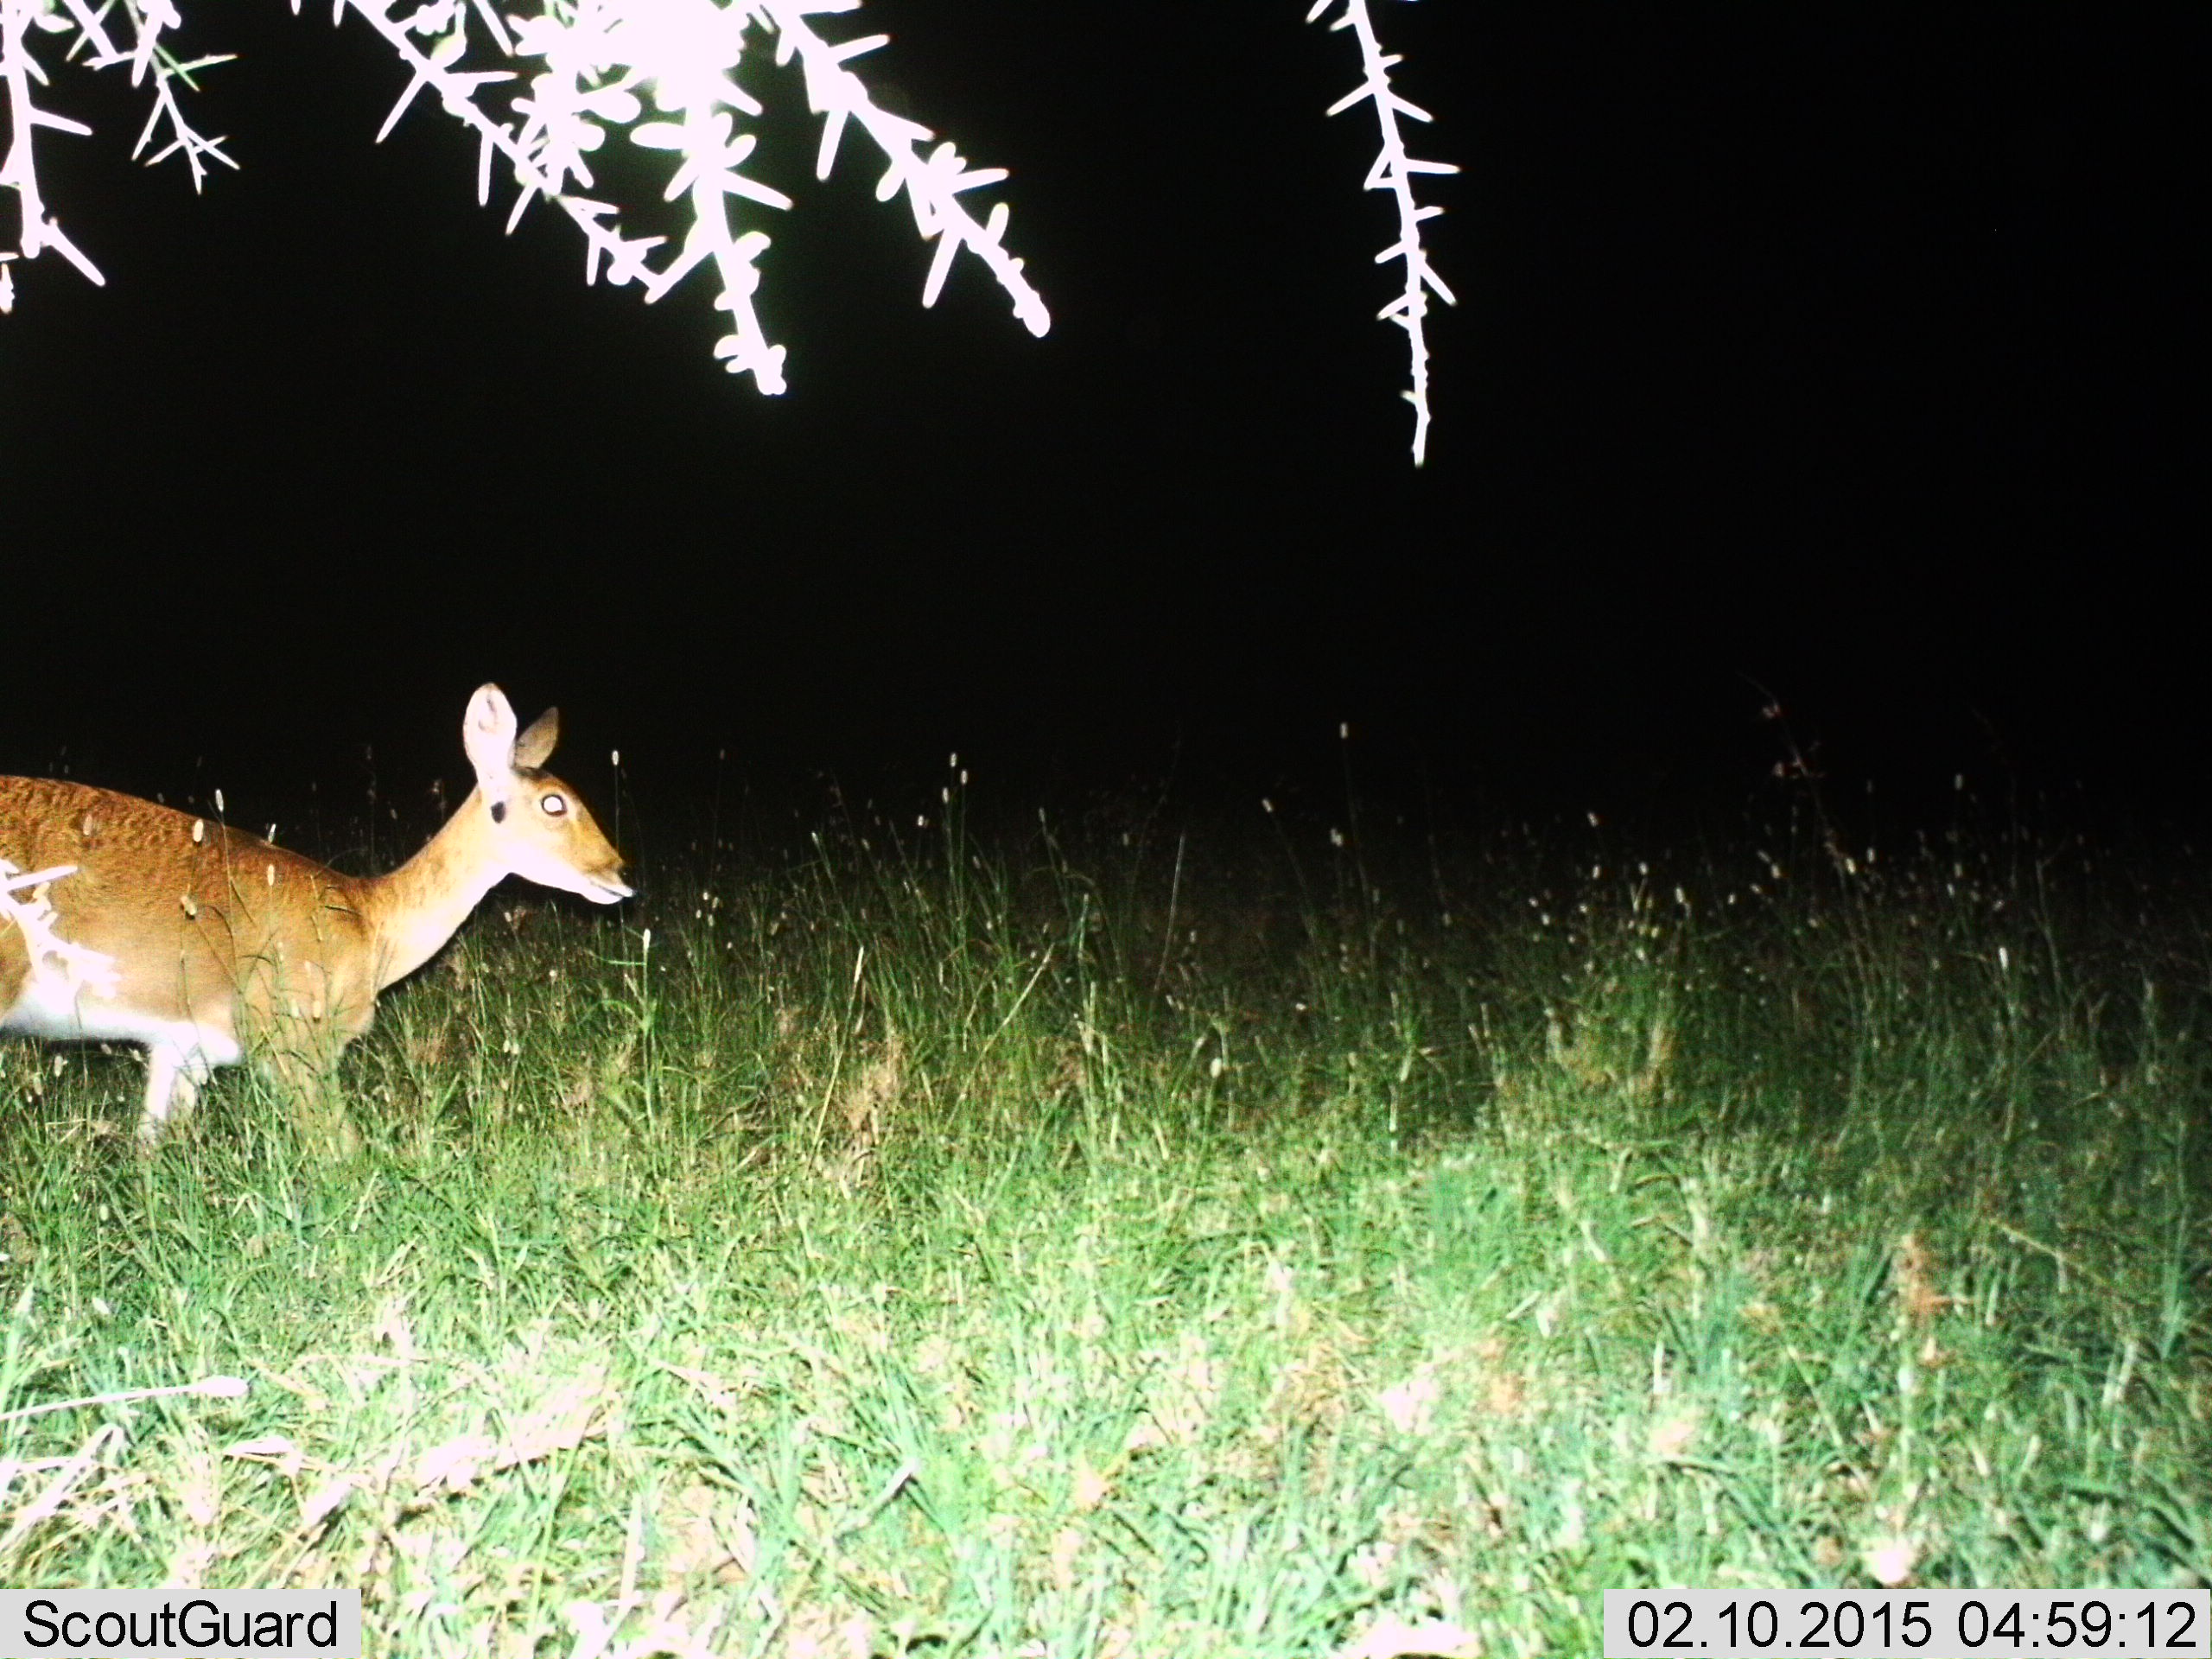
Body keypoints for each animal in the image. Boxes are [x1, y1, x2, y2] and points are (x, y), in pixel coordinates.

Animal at [0, 685, 630, 1150]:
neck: (373, 925)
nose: (619, 875)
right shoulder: (290, 1034)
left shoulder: (180, 1043)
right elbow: (340, 1150)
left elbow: (151, 1147)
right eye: (555, 803)